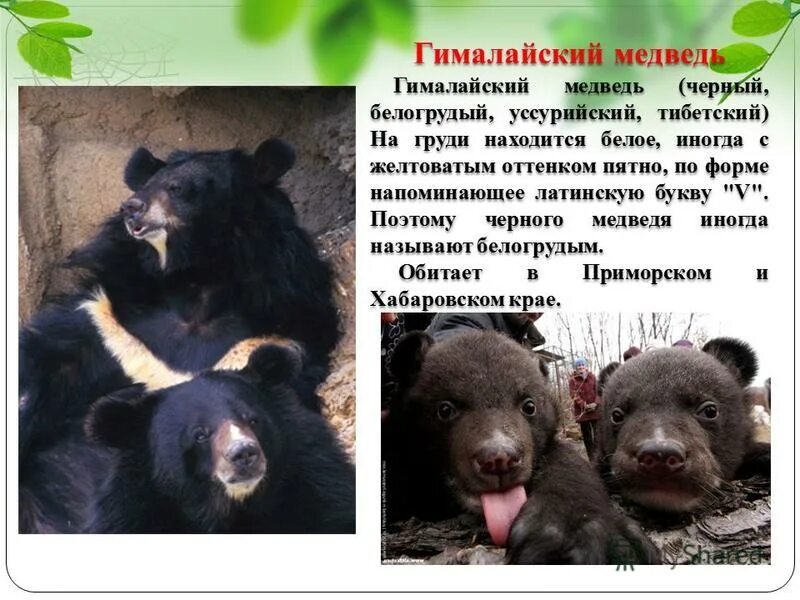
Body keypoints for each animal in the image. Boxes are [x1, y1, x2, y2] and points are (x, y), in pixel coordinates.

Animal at [85, 344, 355, 533]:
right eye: (199, 434)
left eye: (252, 420)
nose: (244, 453)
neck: (232, 509)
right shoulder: (132, 511)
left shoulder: (319, 487)